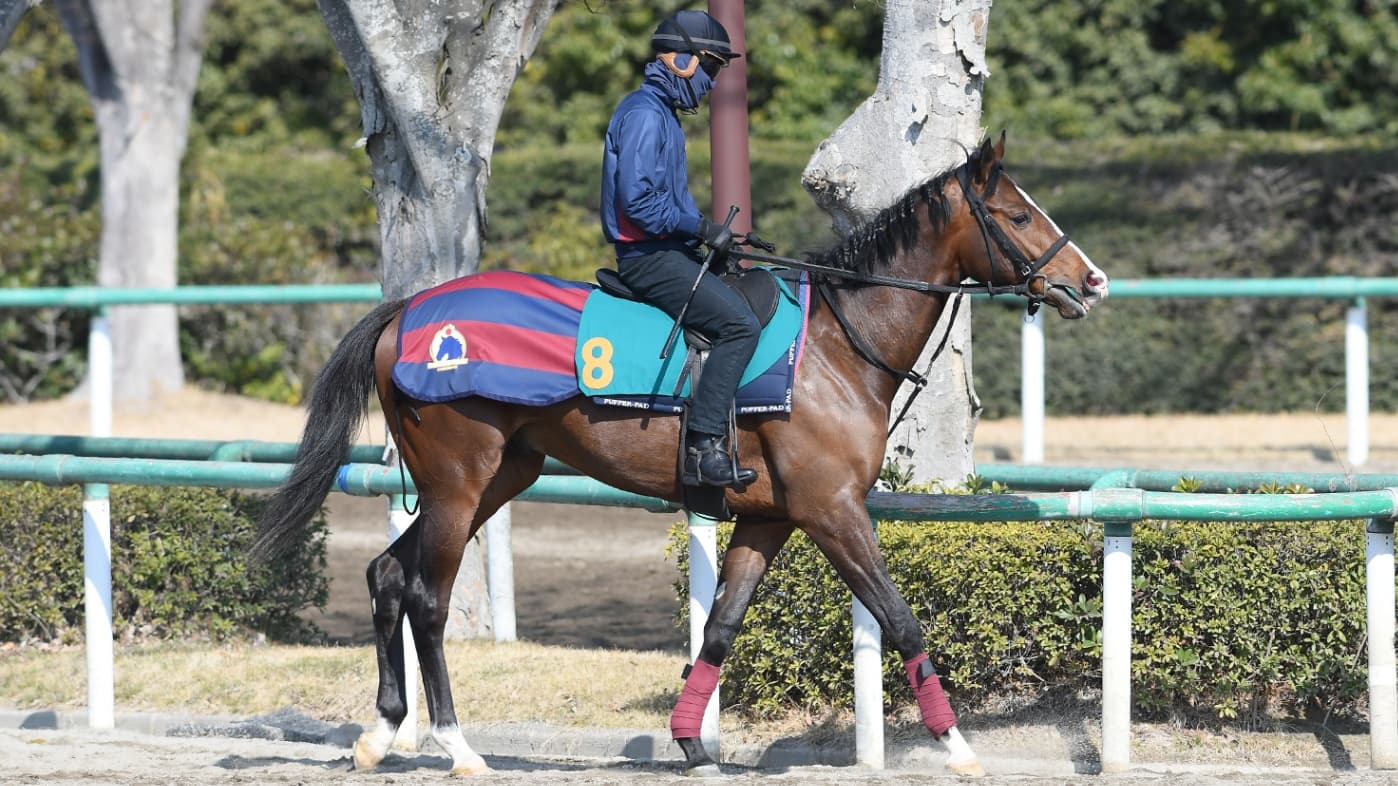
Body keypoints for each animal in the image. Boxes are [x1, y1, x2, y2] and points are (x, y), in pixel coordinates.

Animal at [254, 135, 1109, 776]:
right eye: (1016, 213)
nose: (1092, 280)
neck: (834, 345)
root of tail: (412, 311)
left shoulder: (771, 519)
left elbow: (721, 628)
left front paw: (692, 740)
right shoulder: (833, 511)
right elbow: (900, 620)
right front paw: (957, 745)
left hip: (493, 479)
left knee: (387, 575)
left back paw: (381, 733)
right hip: (458, 484)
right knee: (427, 601)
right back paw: (458, 746)